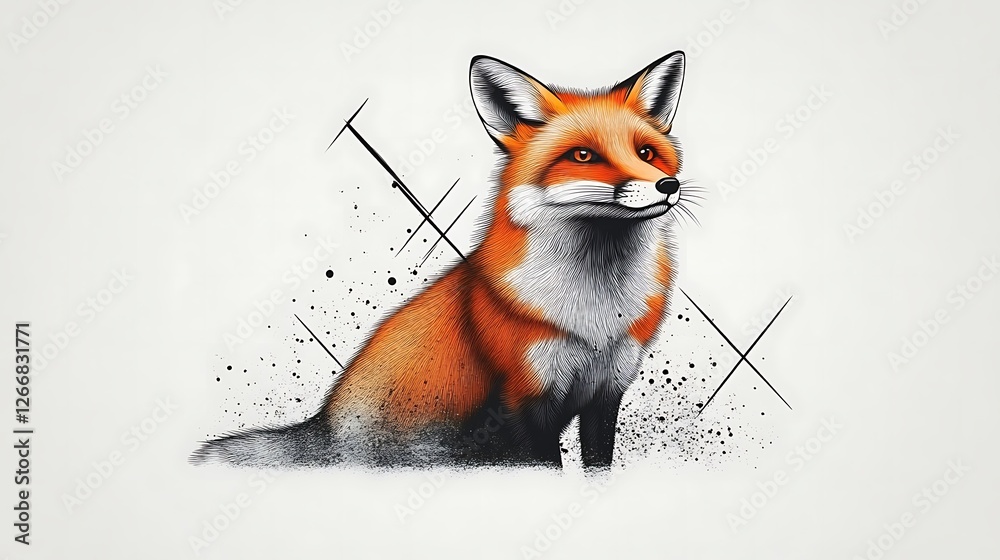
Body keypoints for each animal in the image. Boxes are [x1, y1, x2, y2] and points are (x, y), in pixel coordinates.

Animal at [193, 51, 696, 469]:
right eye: (583, 155)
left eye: (646, 153)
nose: (668, 186)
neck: (595, 317)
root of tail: (324, 426)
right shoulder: (521, 404)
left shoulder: (605, 394)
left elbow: (599, 465)